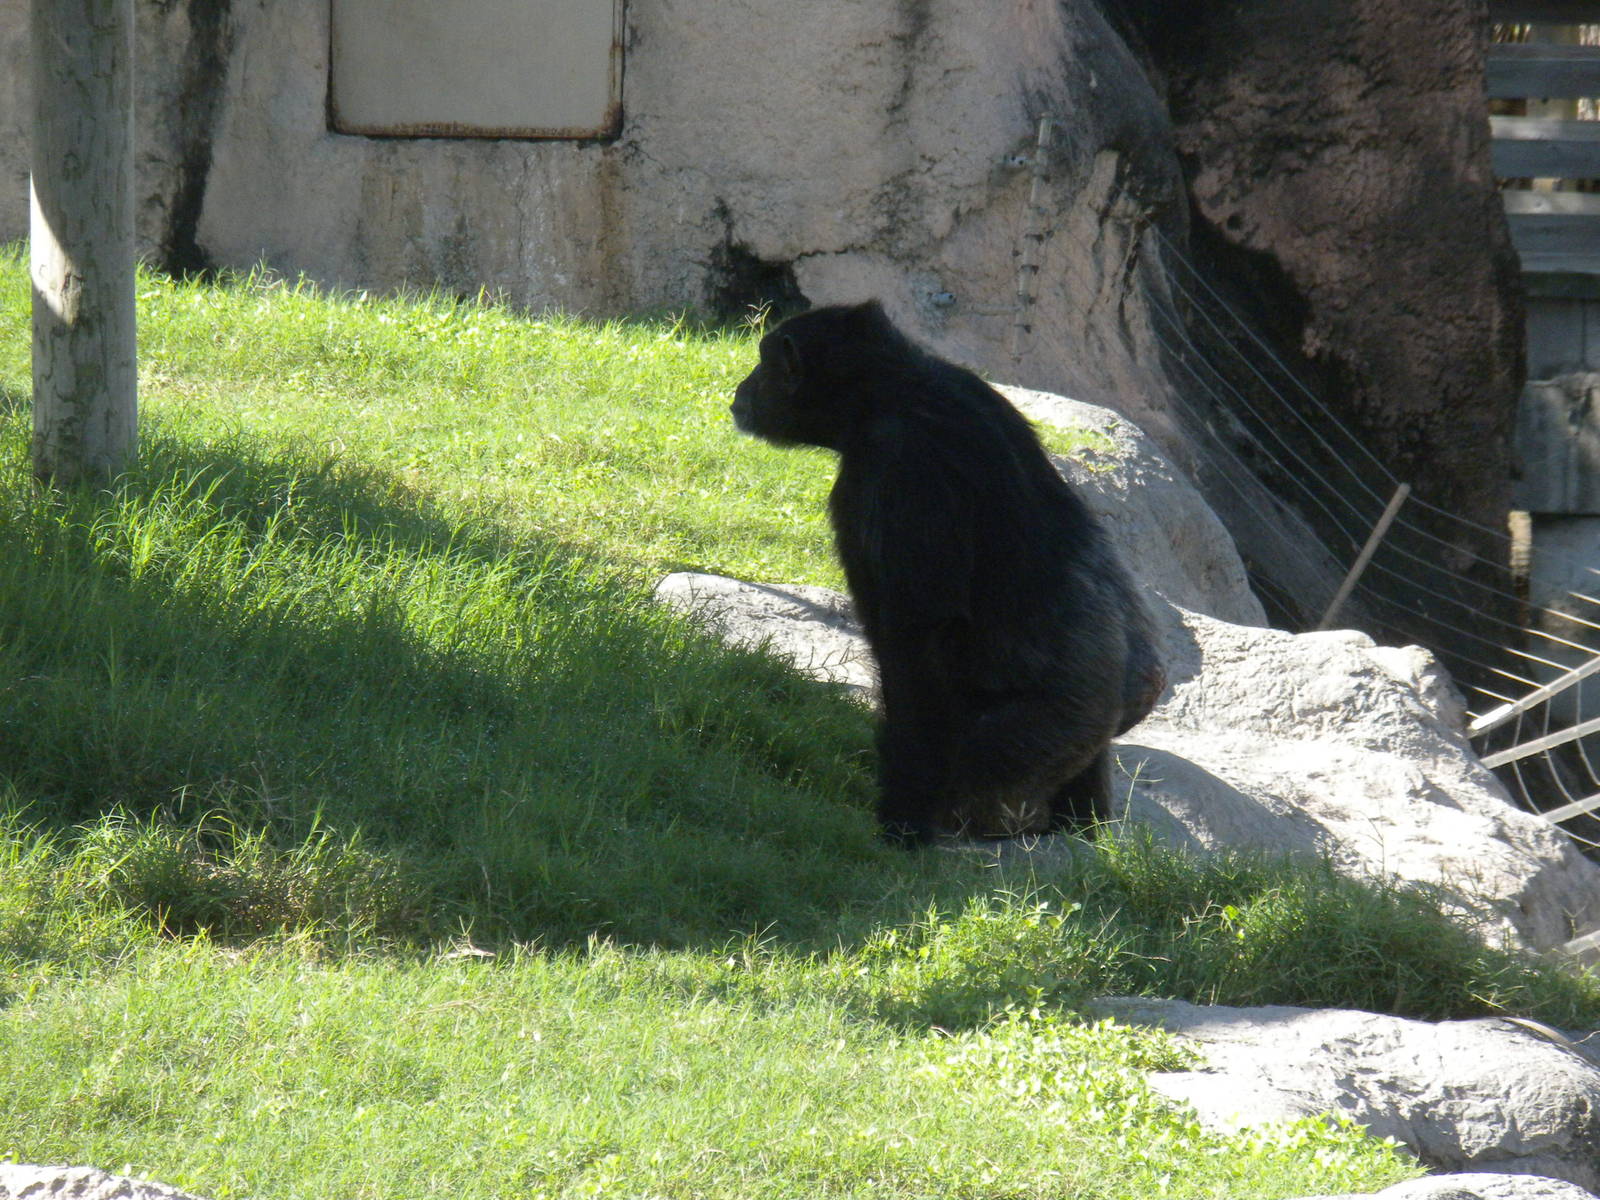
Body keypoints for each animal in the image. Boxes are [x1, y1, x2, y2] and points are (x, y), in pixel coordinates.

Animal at [731, 300, 1163, 845]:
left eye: (763, 362)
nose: (742, 387)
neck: (883, 393)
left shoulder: (899, 468)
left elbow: (918, 636)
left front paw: (903, 814)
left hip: (1046, 726)